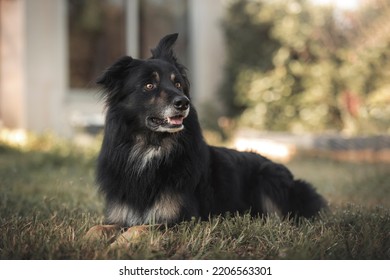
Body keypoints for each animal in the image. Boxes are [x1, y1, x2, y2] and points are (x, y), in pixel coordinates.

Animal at [87, 32, 328, 242]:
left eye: (177, 84)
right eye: (149, 85)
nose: (183, 102)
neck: (151, 148)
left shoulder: (182, 220)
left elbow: (139, 229)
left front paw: (118, 245)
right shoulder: (120, 215)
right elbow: (97, 228)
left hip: (269, 176)